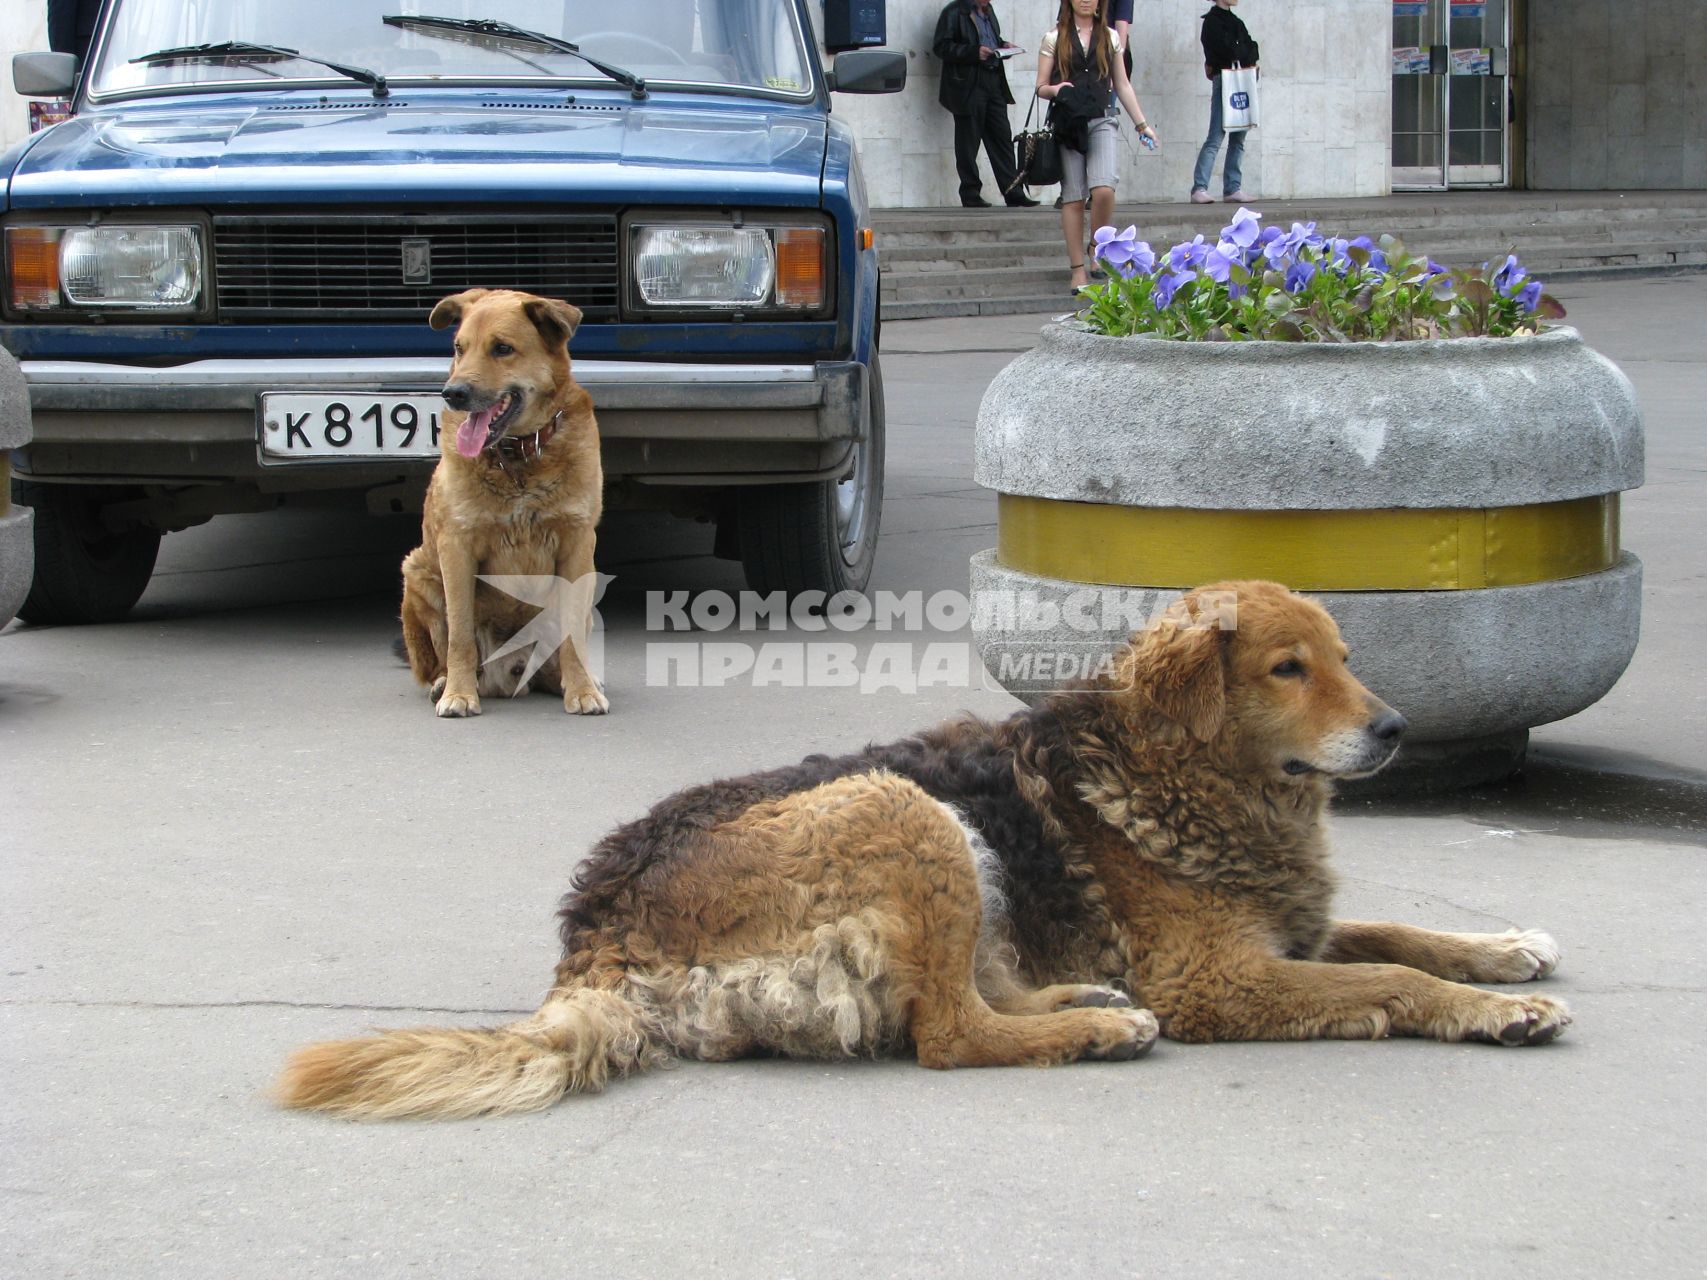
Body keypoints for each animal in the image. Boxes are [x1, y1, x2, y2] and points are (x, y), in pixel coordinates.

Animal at [279, 583, 1570, 1119]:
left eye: (1345, 655)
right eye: (1288, 668)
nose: (1396, 727)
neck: (1183, 772)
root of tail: (595, 929)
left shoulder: (1283, 927)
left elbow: (1400, 929)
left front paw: (1506, 949)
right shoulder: (1221, 975)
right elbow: (1388, 970)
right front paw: (1486, 1007)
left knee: (965, 999)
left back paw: (1083, 998)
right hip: (905, 810)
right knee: (948, 1031)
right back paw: (1095, 1027)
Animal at [397, 286, 611, 723]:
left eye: (502, 349)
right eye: (459, 348)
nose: (453, 394)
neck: (520, 457)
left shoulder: (578, 546)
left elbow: (571, 637)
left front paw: (582, 689)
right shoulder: (457, 549)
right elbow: (460, 635)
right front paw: (459, 694)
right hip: (419, 574)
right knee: (442, 654)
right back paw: (445, 682)